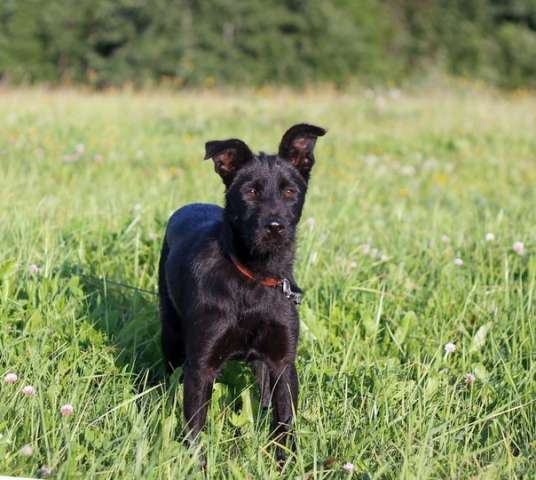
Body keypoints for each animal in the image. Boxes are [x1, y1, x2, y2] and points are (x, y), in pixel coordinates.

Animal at [158, 122, 326, 460]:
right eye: (250, 192)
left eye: (290, 191)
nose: (275, 227)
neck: (255, 277)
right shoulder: (201, 366)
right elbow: (195, 432)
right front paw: (195, 466)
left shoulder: (282, 362)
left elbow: (284, 421)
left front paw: (286, 463)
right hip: (171, 333)